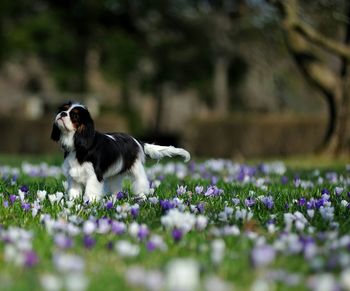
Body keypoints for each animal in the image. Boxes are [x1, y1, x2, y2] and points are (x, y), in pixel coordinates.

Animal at [50, 102, 190, 203]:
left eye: (74, 116)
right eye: (63, 109)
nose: (62, 113)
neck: (77, 145)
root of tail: (137, 141)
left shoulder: (94, 176)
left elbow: (90, 192)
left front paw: (89, 204)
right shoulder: (74, 176)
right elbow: (74, 192)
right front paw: (72, 203)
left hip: (137, 170)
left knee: (141, 184)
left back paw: (142, 198)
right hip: (115, 175)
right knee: (116, 188)